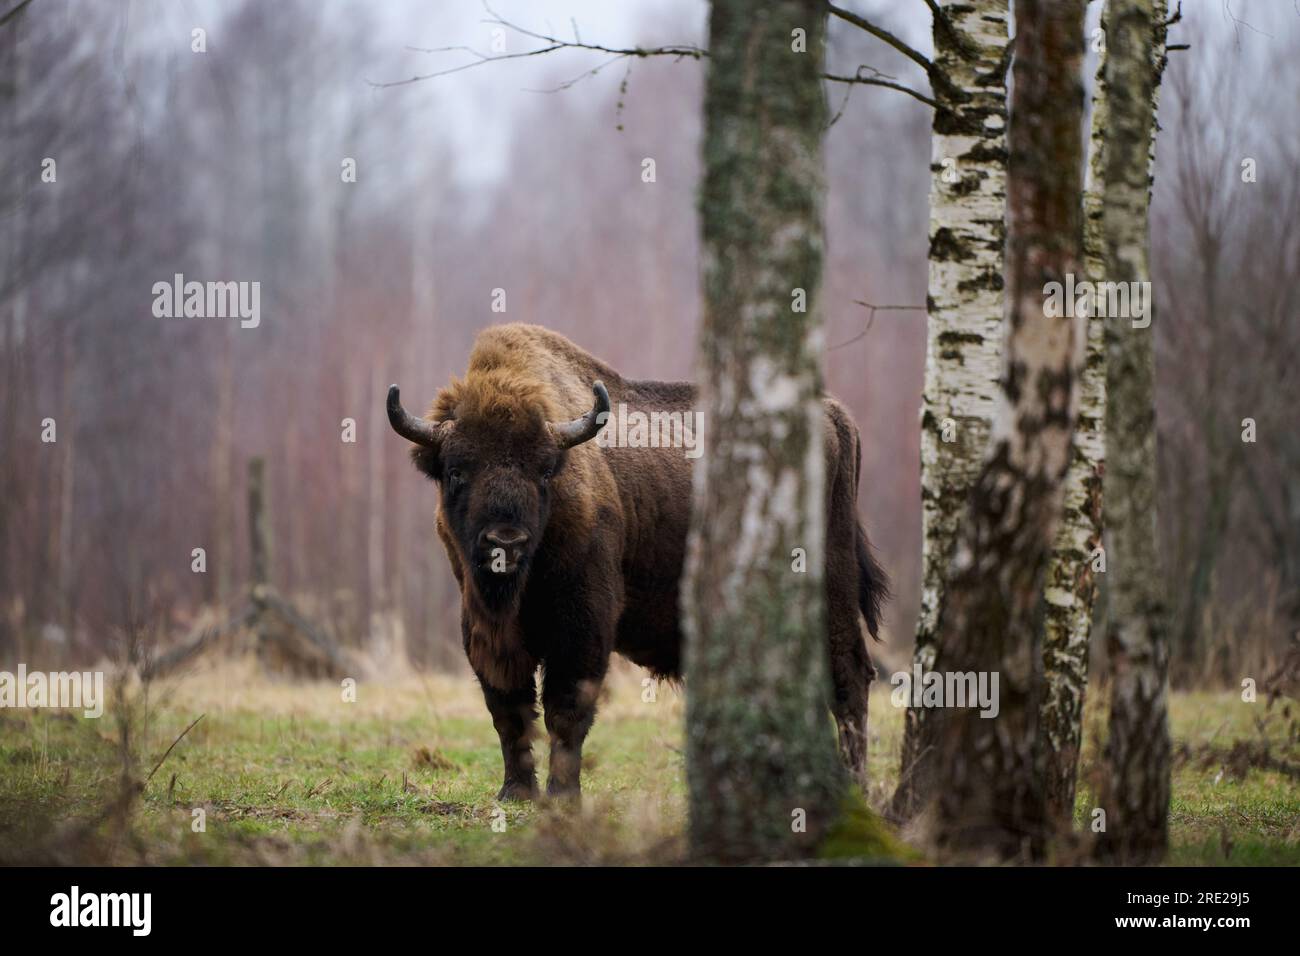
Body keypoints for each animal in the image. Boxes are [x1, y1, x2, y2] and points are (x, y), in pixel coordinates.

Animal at [388, 323, 887, 799]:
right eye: (456, 470)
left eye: (545, 471)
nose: (505, 541)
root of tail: (835, 416)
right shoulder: (486, 628)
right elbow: (508, 710)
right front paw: (516, 792)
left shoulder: (585, 623)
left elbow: (566, 708)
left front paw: (563, 796)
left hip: (832, 591)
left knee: (849, 677)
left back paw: (855, 786)